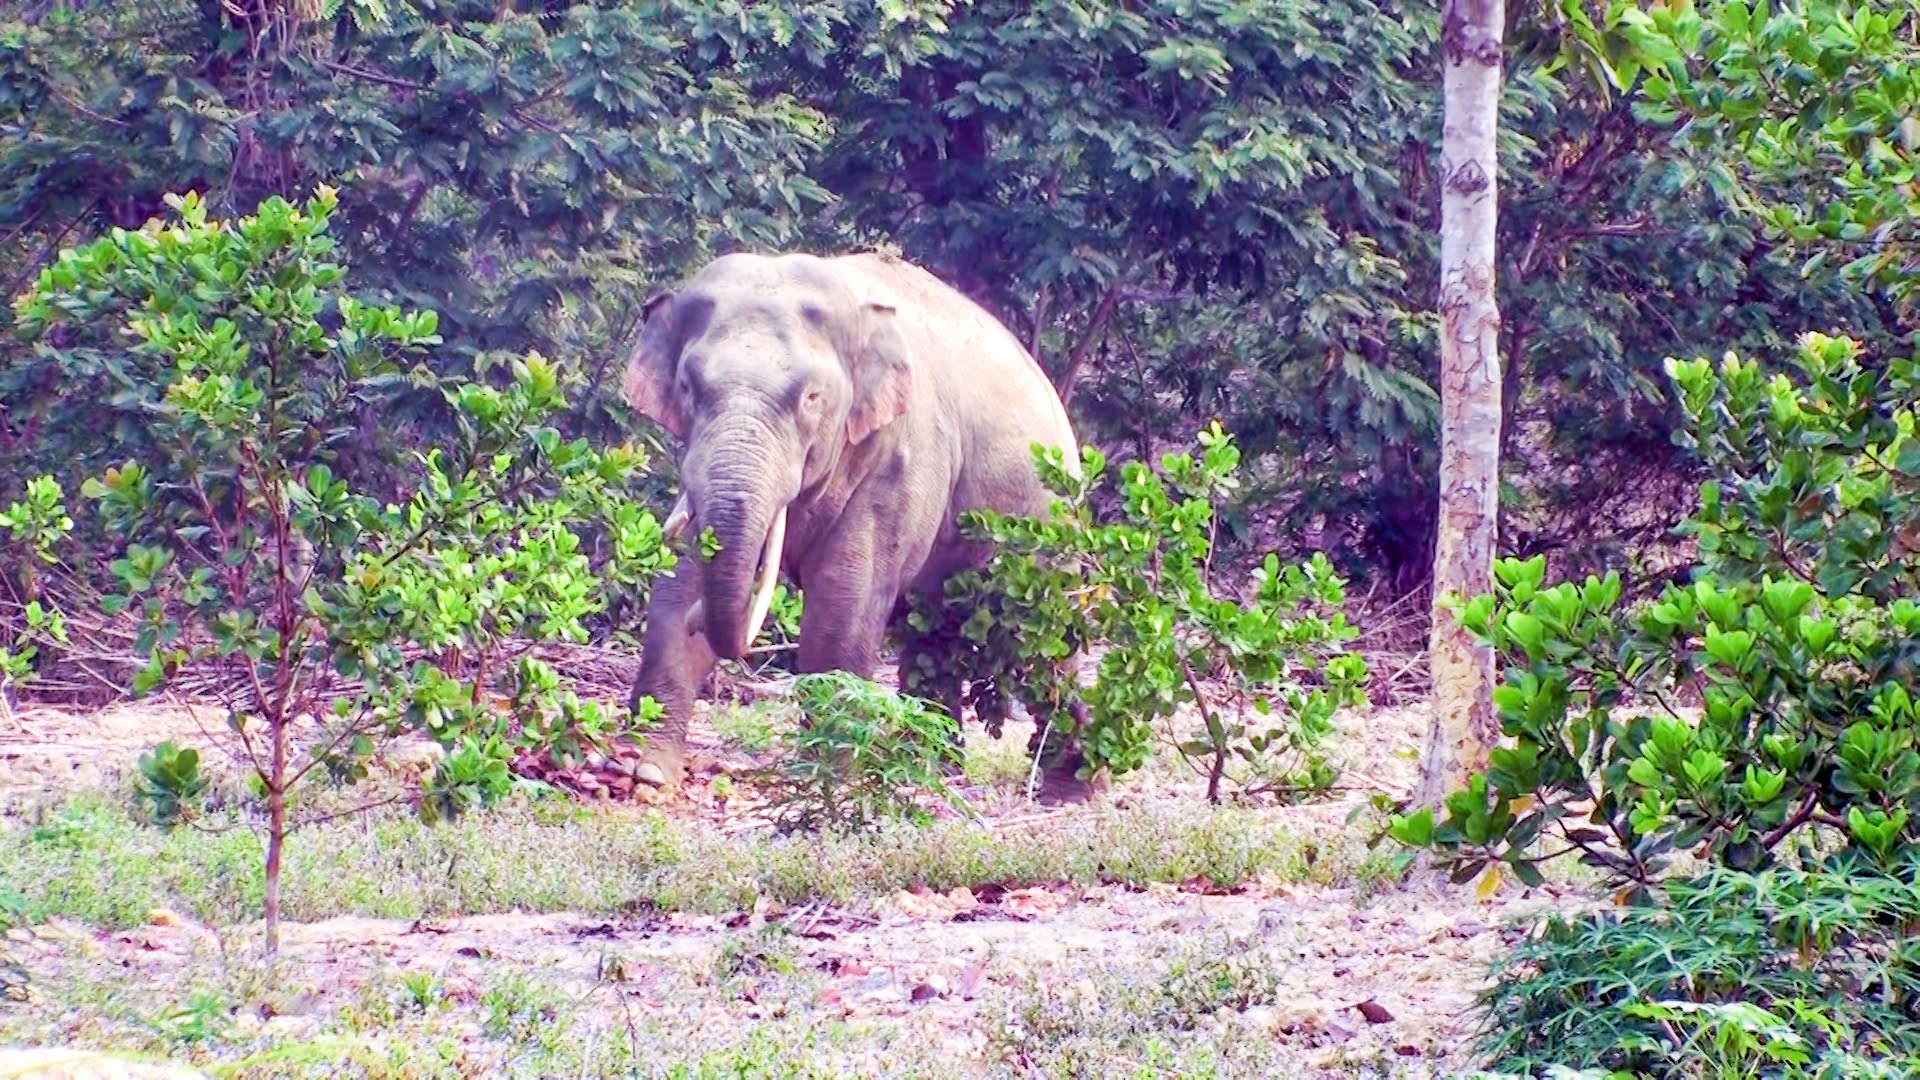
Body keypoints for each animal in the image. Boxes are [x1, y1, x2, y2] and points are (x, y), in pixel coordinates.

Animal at [614, 247, 1098, 795]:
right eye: (687, 386)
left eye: (811, 398)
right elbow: (675, 590)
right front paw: (645, 771)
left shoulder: (898, 460)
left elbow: (842, 608)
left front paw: (827, 780)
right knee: (933, 637)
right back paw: (930, 769)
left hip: (1047, 522)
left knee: (1044, 646)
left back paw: (1069, 790)